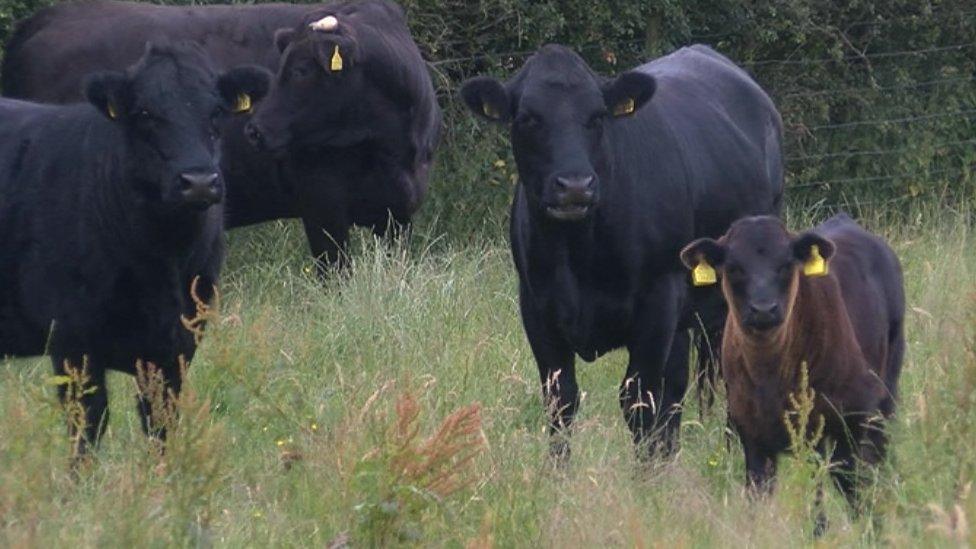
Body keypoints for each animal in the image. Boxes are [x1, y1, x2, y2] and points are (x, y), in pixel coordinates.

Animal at [0, 41, 270, 454]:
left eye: (217, 111)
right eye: (144, 112)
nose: (199, 182)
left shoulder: (178, 343)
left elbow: (160, 423)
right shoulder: (72, 340)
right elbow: (87, 426)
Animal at [2, 0, 438, 272]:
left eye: (299, 70)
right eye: (283, 67)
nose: (254, 130)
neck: (389, 148)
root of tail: (46, 18)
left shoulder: (398, 214)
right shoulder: (322, 207)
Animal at [464, 46, 784, 458]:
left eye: (597, 116)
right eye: (529, 118)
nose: (575, 185)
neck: (578, 252)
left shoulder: (657, 303)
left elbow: (639, 401)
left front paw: (645, 471)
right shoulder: (536, 307)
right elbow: (560, 399)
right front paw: (558, 469)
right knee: (677, 386)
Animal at [684, 213, 904, 506]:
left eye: (787, 264)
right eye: (733, 267)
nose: (763, 309)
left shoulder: (846, 423)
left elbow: (843, 492)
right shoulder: (752, 437)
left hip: (884, 398)